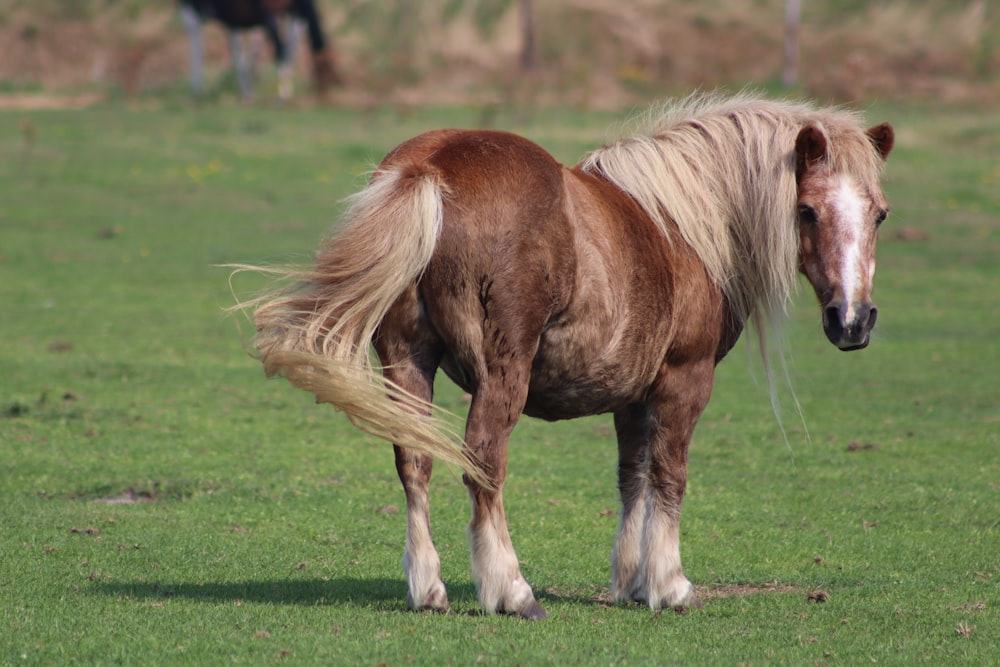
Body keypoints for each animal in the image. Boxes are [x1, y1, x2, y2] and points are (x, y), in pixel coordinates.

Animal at [238, 91, 896, 620]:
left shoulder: (632, 394)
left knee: (414, 462)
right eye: (807, 211)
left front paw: (631, 581)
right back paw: (511, 590)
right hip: (500, 375)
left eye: (879, 214)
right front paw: (669, 585)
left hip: (406, 364)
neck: (683, 227)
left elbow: (632, 477)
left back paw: (428, 589)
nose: (853, 321)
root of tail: (431, 166)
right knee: (483, 460)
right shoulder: (683, 381)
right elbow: (670, 475)